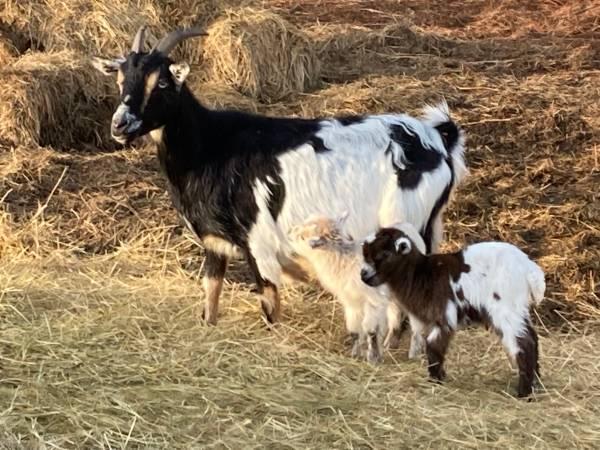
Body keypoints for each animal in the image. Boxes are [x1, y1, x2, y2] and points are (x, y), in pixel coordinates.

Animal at [94, 25, 466, 326]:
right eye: (120, 78)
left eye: (162, 82)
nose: (120, 125)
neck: (210, 146)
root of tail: (437, 140)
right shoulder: (214, 241)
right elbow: (211, 293)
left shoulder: (258, 242)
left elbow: (269, 303)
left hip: (407, 221)